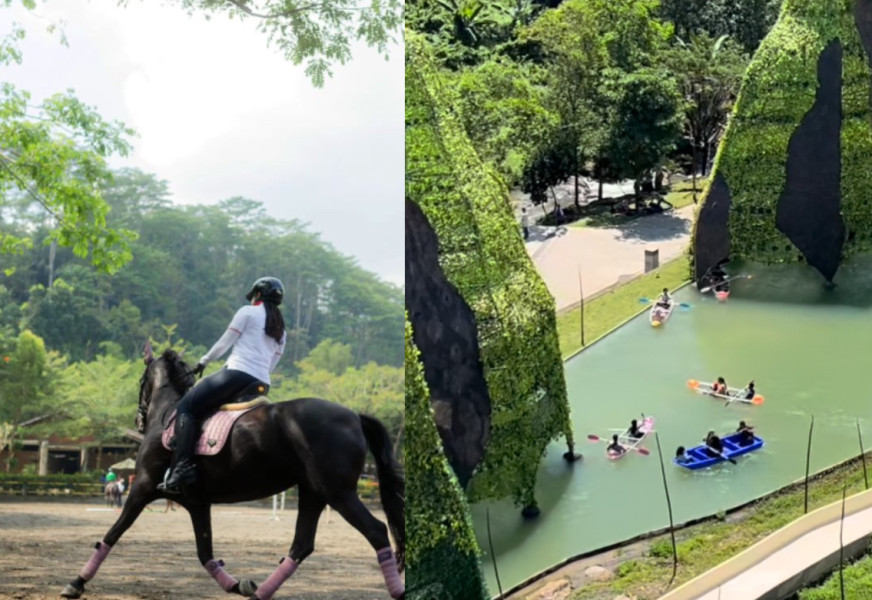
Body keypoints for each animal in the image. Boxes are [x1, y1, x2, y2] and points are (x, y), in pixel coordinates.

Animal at [61, 346, 406, 600]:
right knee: (301, 545)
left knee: (376, 531)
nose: (138, 419)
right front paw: (237, 585)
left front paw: (76, 582)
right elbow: (205, 553)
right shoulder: (197, 503)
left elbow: (112, 533)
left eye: (140, 380)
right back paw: (261, 591)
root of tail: (354, 416)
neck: (167, 415)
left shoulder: (142, 488)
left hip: (338, 493)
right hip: (313, 492)